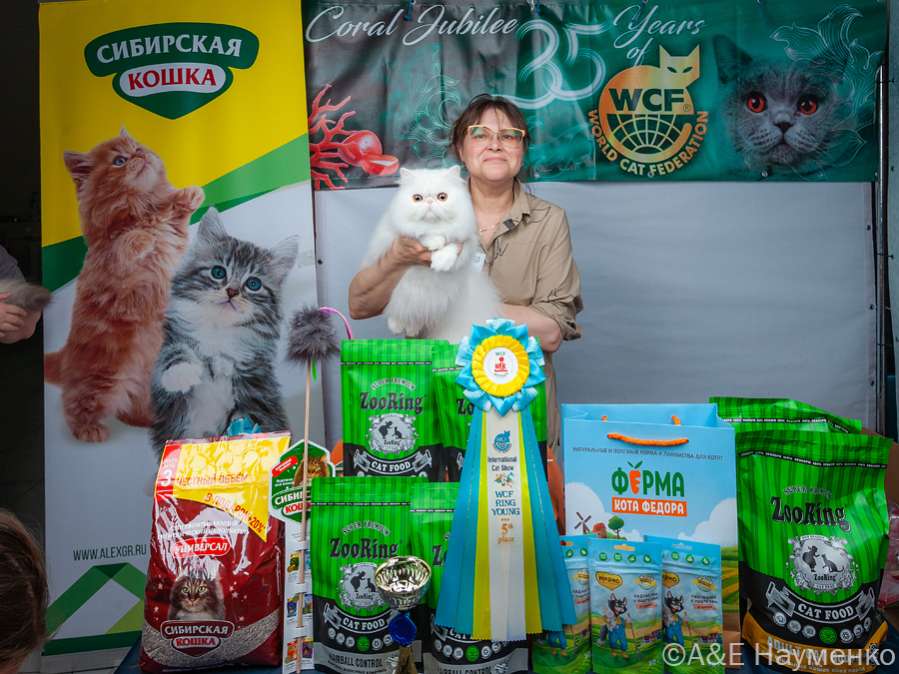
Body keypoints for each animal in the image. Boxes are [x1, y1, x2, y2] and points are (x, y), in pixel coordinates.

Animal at [44, 130, 203, 443]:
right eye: (119, 160)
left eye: (139, 148)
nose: (138, 155)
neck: (141, 210)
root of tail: (66, 356)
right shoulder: (110, 263)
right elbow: (122, 246)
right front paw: (141, 237)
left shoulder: (175, 236)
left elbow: (176, 216)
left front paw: (190, 195)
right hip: (103, 378)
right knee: (76, 403)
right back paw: (89, 430)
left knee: (131, 409)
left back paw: (154, 419)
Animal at [150, 208, 297, 454]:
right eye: (218, 272)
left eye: (253, 284)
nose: (232, 291)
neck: (218, 332)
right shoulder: (166, 361)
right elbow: (173, 353)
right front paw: (181, 372)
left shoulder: (256, 384)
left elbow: (247, 422)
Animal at [363, 165, 499, 341]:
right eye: (417, 198)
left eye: (442, 197)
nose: (429, 201)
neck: (435, 227)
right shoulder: (399, 233)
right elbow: (422, 233)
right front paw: (435, 242)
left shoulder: (466, 241)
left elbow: (451, 246)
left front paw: (441, 262)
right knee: (398, 312)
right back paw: (397, 326)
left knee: (416, 318)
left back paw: (411, 329)